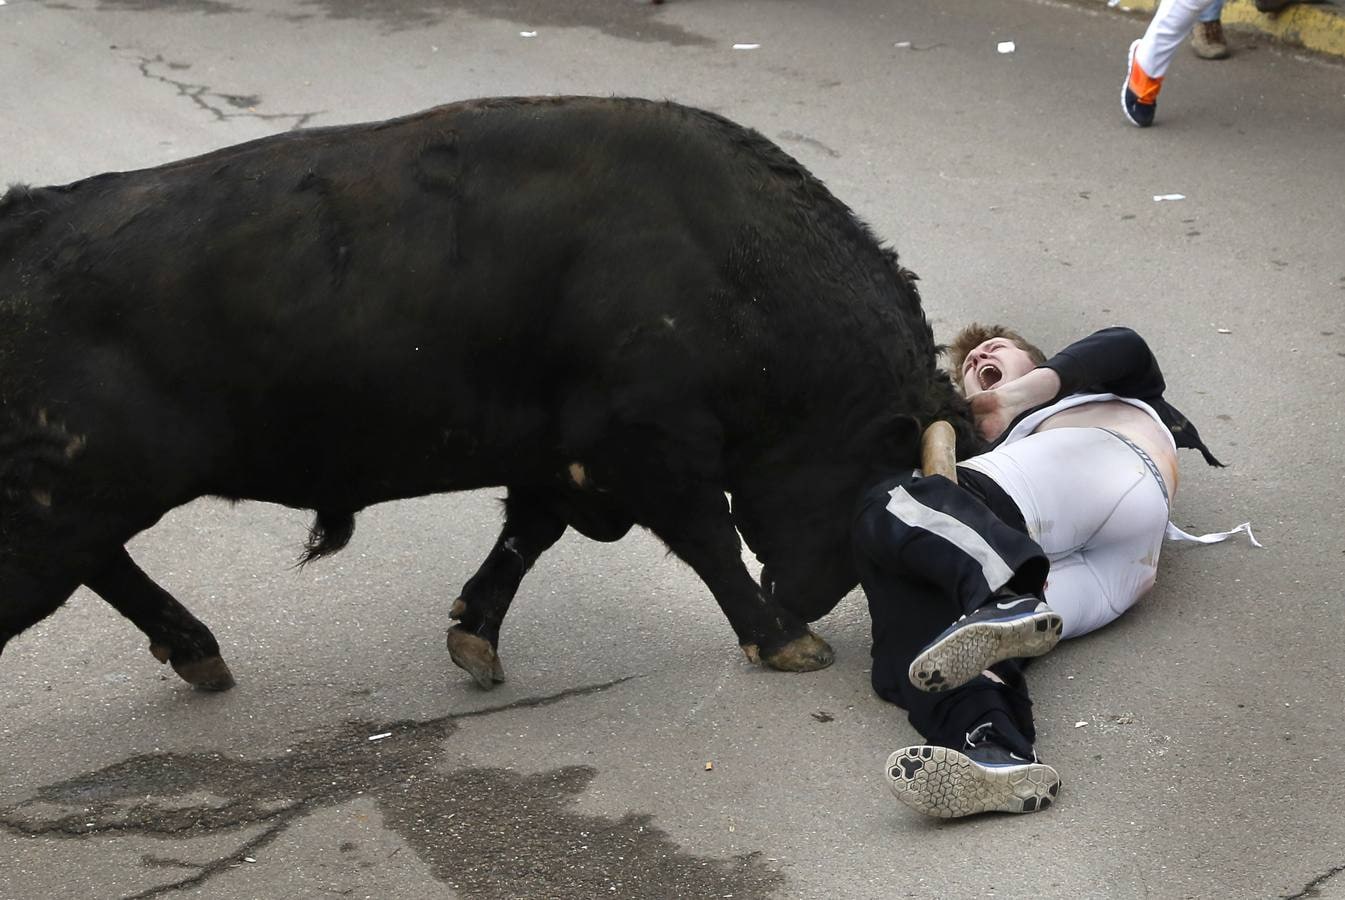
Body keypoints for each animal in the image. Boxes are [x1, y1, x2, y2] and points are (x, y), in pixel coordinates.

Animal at [0, 96, 979, 688]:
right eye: (876, 487)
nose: (805, 596)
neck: (735, 263)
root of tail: (28, 219)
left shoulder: (564, 455)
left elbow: (526, 536)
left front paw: (474, 632)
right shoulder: (648, 445)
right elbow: (708, 541)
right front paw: (783, 639)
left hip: (75, 502)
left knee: (106, 562)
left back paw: (197, 651)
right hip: (59, 503)